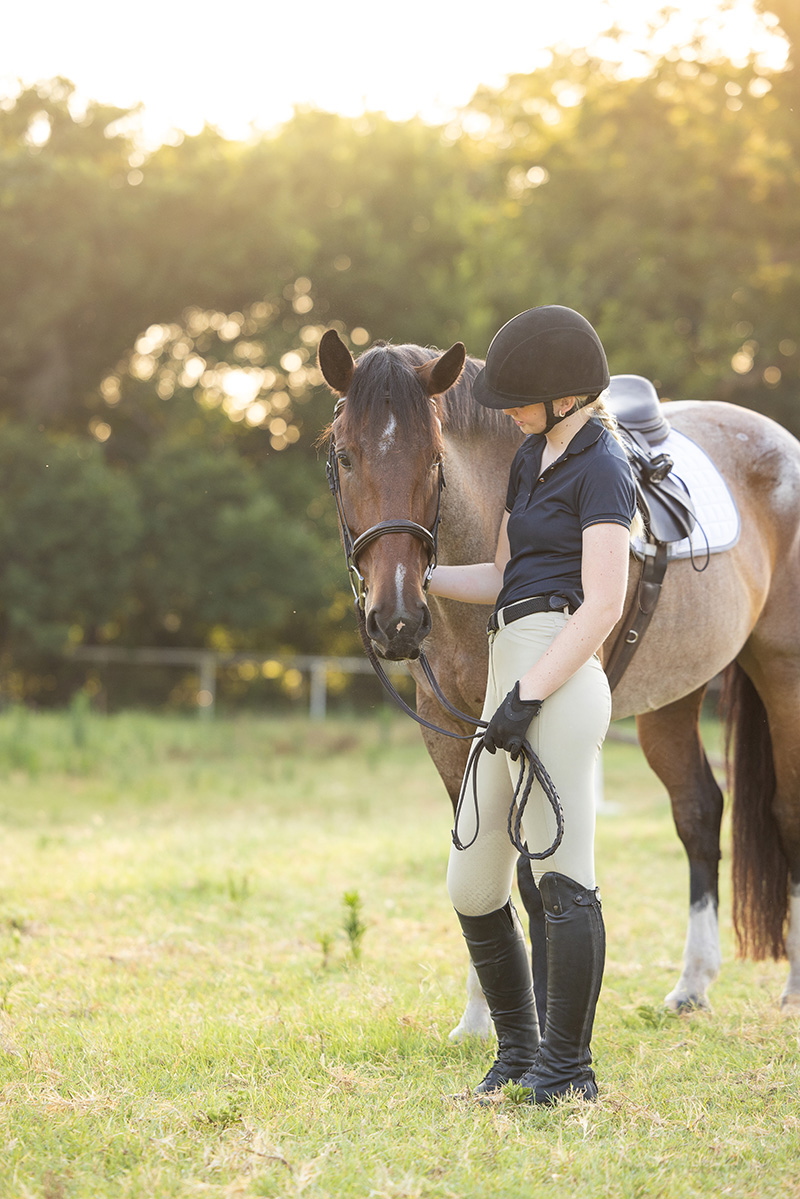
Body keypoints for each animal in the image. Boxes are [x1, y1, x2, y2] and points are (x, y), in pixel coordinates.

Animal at [316, 328, 800, 1031]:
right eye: (345, 457)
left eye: (434, 458)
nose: (397, 619)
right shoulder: (453, 729)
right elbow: (480, 850)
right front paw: (480, 1018)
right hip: (674, 698)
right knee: (699, 811)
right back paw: (693, 983)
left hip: (783, 672)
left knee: (785, 809)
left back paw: (792, 986)